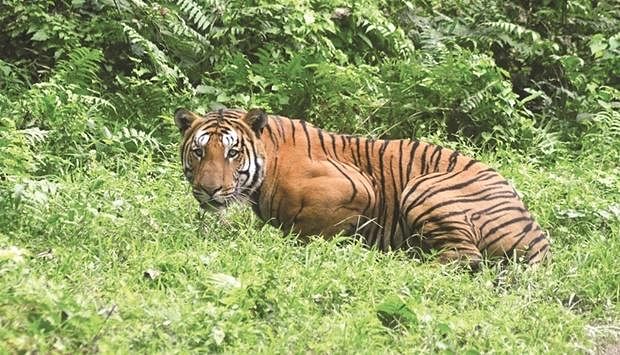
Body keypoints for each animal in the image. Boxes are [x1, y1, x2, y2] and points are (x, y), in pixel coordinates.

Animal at [173, 107, 548, 268]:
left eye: (233, 152)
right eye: (199, 151)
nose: (209, 190)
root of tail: (538, 236)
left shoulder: (358, 188)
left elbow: (307, 229)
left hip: (424, 187)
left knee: (463, 258)